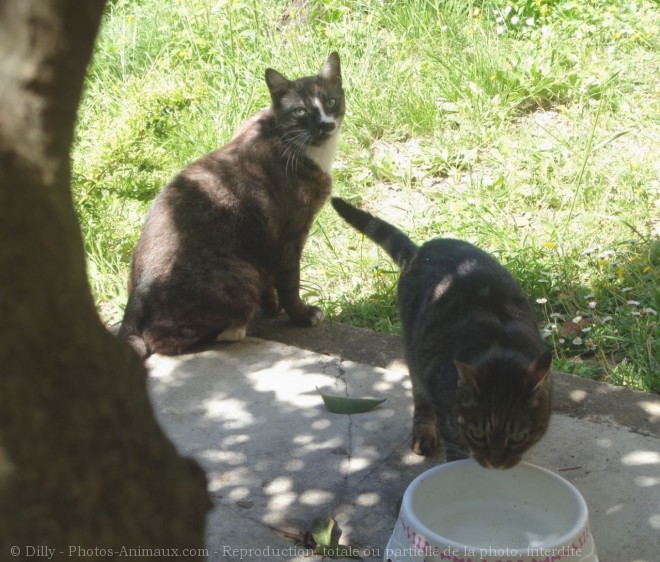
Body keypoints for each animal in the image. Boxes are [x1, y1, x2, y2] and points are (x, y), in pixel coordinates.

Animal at [119, 54, 346, 356]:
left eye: (331, 101)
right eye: (300, 111)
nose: (325, 124)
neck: (285, 137)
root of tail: (136, 294)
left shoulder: (265, 241)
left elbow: (270, 283)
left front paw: (272, 308)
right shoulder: (291, 235)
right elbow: (289, 284)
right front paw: (302, 316)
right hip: (241, 272)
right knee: (160, 339)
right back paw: (232, 329)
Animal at [330, 197, 552, 468]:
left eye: (519, 437)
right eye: (477, 434)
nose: (495, 463)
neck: (500, 344)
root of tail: (420, 251)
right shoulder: (443, 404)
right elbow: (455, 445)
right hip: (414, 356)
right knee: (420, 398)